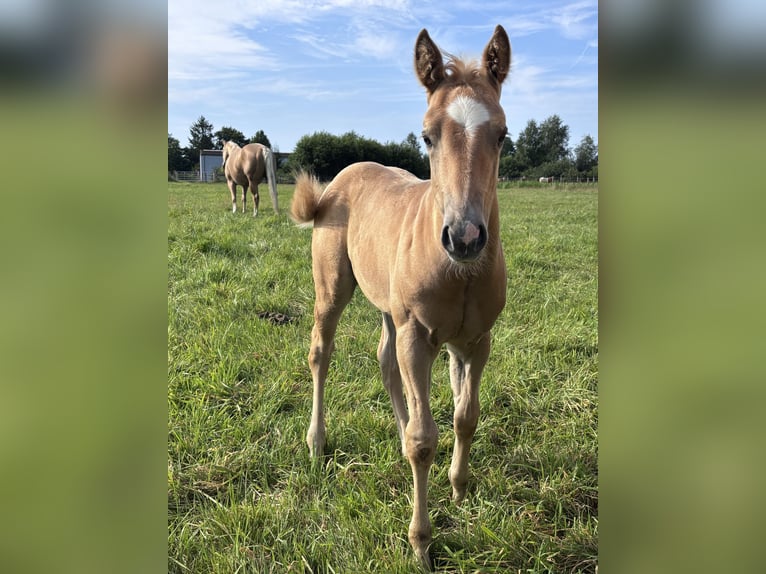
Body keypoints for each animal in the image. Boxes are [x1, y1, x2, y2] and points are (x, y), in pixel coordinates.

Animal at [290, 25, 511, 567]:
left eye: (502, 135)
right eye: (427, 135)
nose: (465, 237)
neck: (460, 272)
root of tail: (340, 179)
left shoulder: (476, 341)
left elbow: (465, 416)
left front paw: (459, 488)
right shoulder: (418, 334)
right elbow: (424, 441)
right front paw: (421, 544)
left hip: (389, 309)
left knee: (386, 363)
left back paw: (397, 426)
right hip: (333, 289)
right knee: (321, 352)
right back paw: (316, 442)